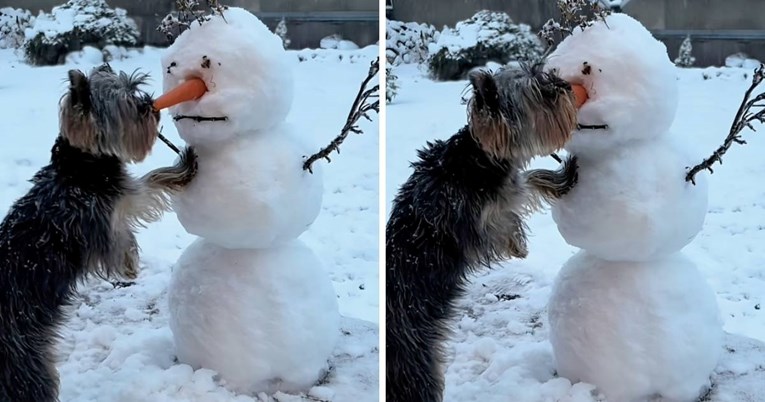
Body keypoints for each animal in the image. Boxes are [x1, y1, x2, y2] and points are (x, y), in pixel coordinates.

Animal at [0, 64, 200, 400]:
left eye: (135, 90)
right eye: (125, 105)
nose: (149, 105)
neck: (80, 166)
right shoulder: (102, 221)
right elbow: (147, 188)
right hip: (27, 366)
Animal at [384, 64, 576, 400]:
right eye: (539, 92)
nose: (564, 86)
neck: (476, 155)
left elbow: (526, 181)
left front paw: (557, 178)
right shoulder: (472, 226)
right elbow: (508, 208)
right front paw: (518, 243)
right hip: (415, 364)